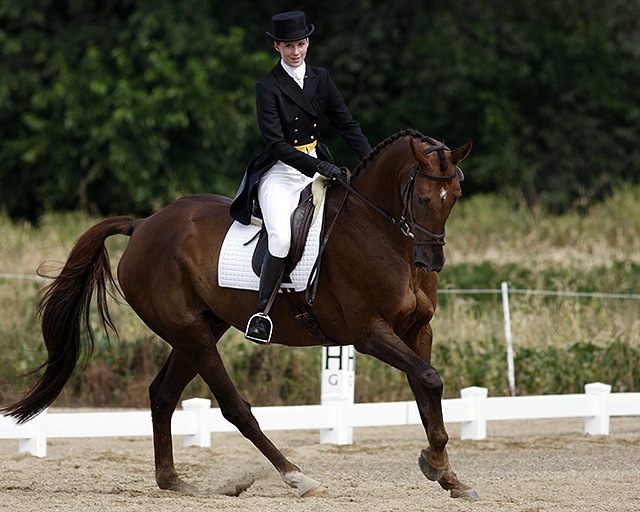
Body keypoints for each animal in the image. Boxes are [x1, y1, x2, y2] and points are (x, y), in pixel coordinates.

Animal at [1, 129, 476, 499]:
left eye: (455, 196)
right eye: (421, 197)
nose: (431, 262)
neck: (381, 234)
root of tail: (145, 224)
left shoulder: (417, 331)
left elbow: (426, 388)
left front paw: (444, 471)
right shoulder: (370, 333)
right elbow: (429, 379)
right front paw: (436, 463)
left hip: (200, 329)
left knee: (162, 394)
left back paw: (173, 481)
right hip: (192, 333)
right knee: (234, 407)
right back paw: (297, 478)